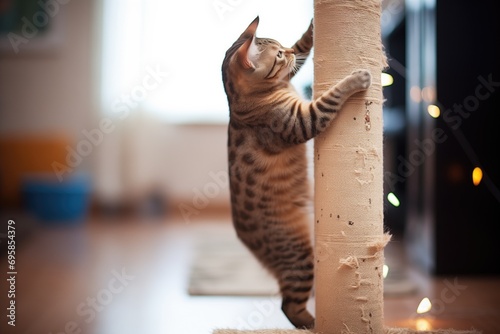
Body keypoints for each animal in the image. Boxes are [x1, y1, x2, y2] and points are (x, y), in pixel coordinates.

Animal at [222, 17, 372, 328]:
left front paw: (312, 29)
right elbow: (331, 97)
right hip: (299, 257)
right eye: (278, 55)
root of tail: (245, 240)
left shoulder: (290, 79)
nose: (287, 52)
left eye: (282, 47)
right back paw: (315, 324)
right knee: (288, 306)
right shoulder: (302, 121)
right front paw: (357, 78)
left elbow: (304, 48)